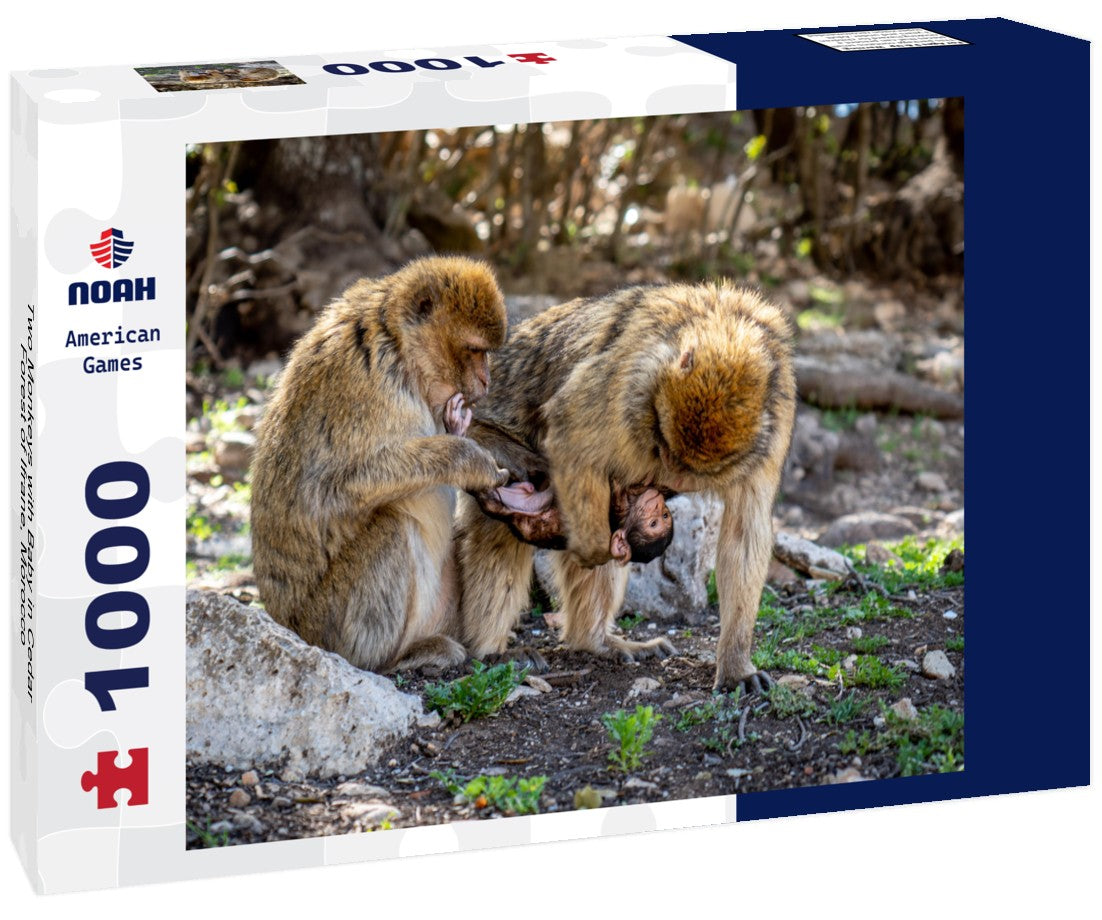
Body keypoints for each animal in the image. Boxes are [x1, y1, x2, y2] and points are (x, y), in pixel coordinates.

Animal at [250, 256, 510, 674]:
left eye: (484, 352)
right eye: (474, 350)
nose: (485, 381)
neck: (399, 349)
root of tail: (288, 624)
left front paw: (459, 428)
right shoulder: (361, 386)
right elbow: (324, 492)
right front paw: (469, 459)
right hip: (327, 626)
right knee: (390, 525)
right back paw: (391, 659)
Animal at [455, 281, 795, 693]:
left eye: (684, 471)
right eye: (663, 448)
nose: (663, 486)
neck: (724, 327)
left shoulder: (776, 419)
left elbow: (745, 531)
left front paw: (735, 665)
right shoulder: (630, 380)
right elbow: (569, 431)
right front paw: (590, 547)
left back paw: (594, 641)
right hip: (481, 439)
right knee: (501, 531)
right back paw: (491, 650)